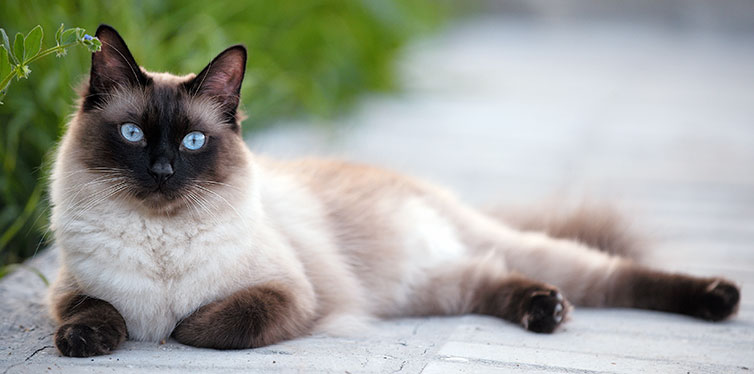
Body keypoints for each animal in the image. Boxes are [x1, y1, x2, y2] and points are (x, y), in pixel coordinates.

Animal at [45, 24, 736, 358]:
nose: (162, 171)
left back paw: (718, 299)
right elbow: (96, 312)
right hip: (433, 288)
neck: (160, 244)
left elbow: (207, 325)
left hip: (496, 257)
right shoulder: (72, 290)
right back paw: (546, 311)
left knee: (612, 275)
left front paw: (172, 330)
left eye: (191, 142)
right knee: (495, 280)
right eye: (134, 134)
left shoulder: (289, 295)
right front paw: (86, 344)